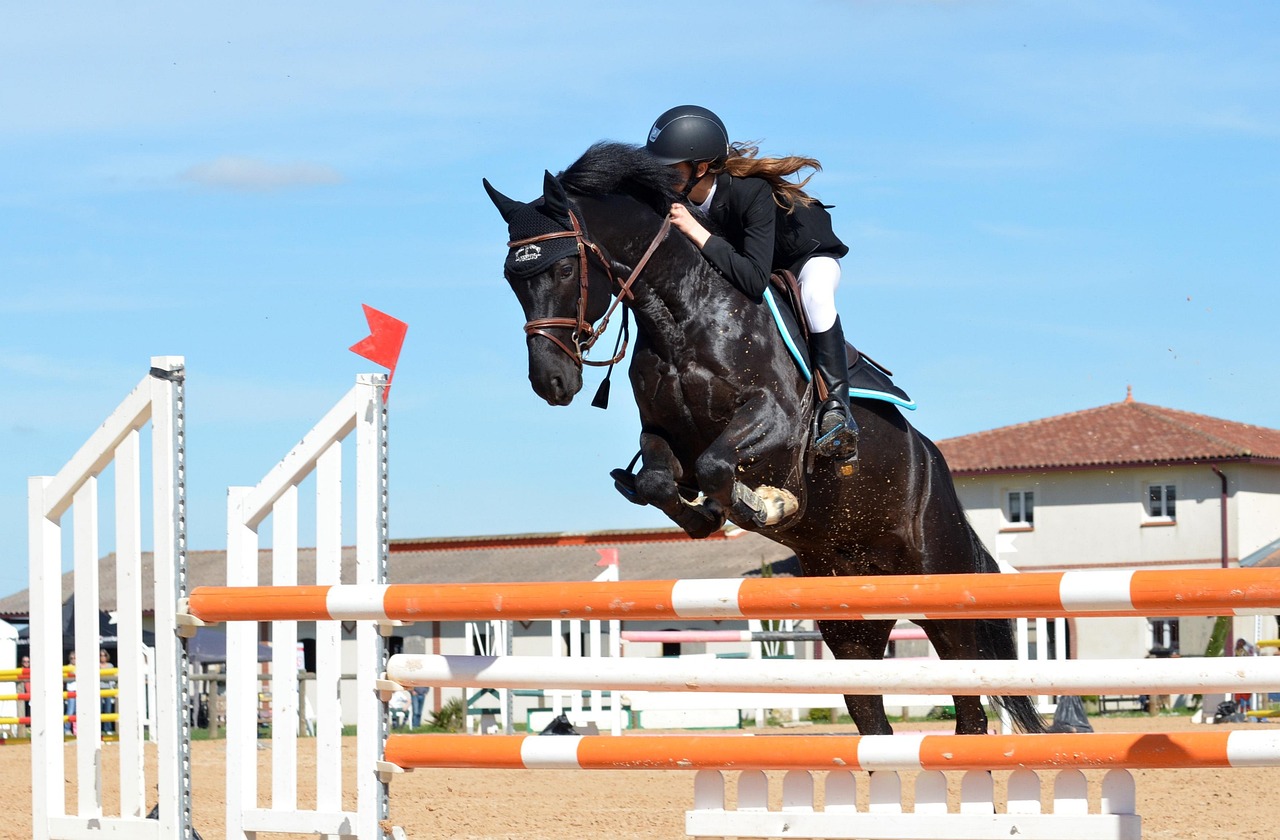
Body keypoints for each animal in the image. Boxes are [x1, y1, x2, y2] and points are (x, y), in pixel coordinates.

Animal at [484, 142, 1044, 736]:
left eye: (567, 266)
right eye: (512, 279)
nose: (551, 382)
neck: (681, 313)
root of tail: (936, 468)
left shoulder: (776, 420)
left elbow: (719, 465)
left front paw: (767, 504)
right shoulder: (663, 435)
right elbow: (663, 481)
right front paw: (709, 515)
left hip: (943, 589)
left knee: (971, 707)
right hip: (850, 620)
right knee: (874, 716)